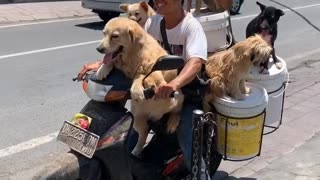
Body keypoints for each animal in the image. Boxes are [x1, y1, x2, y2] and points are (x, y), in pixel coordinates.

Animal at [95, 17, 184, 157]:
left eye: (114, 36)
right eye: (104, 33)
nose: (99, 49)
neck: (132, 55)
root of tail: (156, 116)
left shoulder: (151, 67)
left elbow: (143, 74)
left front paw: (139, 89)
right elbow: (110, 61)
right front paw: (102, 69)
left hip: (178, 97)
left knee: (176, 110)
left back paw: (172, 121)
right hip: (137, 119)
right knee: (143, 134)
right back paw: (136, 150)